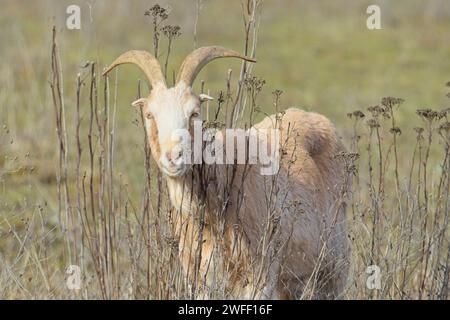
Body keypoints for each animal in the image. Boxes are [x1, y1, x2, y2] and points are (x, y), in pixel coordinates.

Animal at [103, 46, 350, 298]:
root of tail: (317, 119)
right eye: (149, 115)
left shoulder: (259, 274)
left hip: (334, 267)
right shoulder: (198, 276)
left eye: (194, 113)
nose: (173, 156)